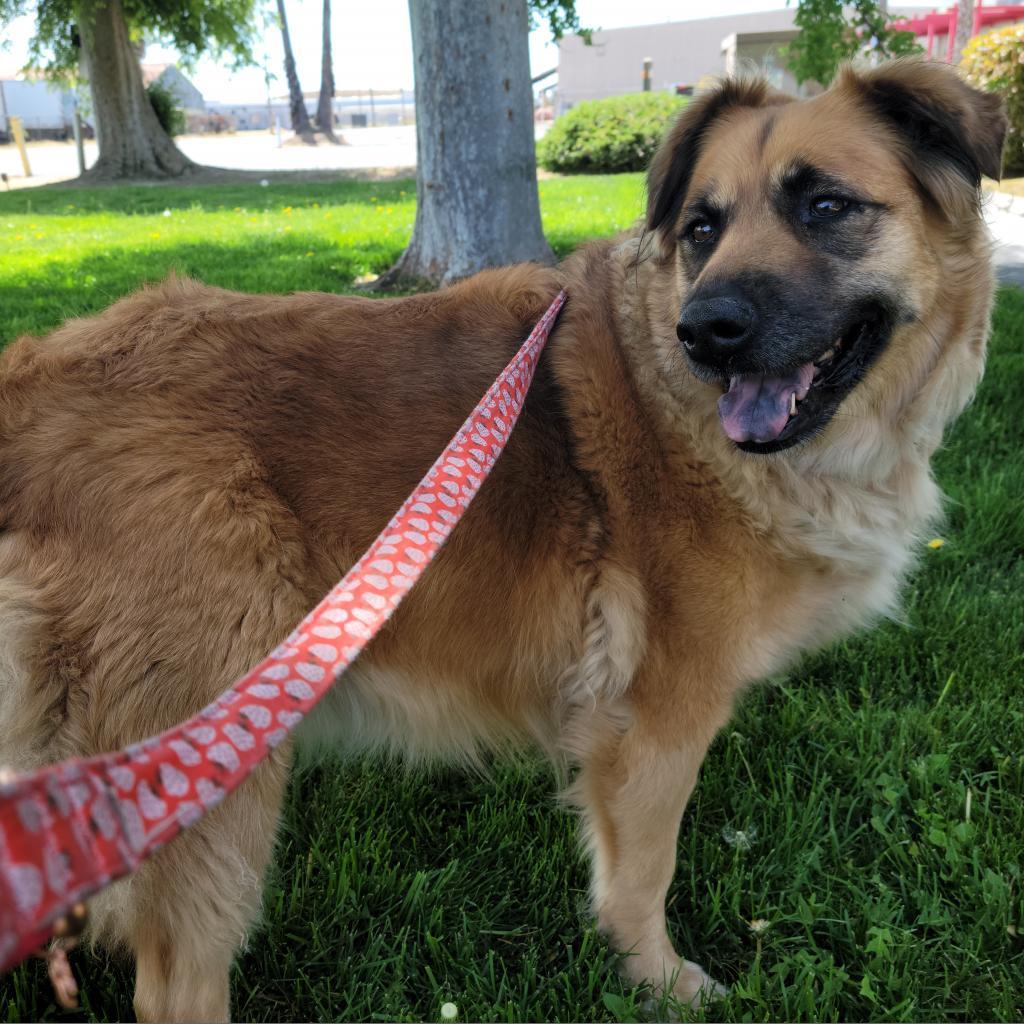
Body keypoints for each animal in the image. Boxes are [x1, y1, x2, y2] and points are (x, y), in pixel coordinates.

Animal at [0, 59, 1007, 1019]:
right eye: (701, 229)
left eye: (826, 206)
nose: (705, 332)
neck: (669, 399)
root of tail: (29, 385)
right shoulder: (655, 720)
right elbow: (643, 875)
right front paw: (660, 983)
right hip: (210, 762)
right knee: (176, 988)